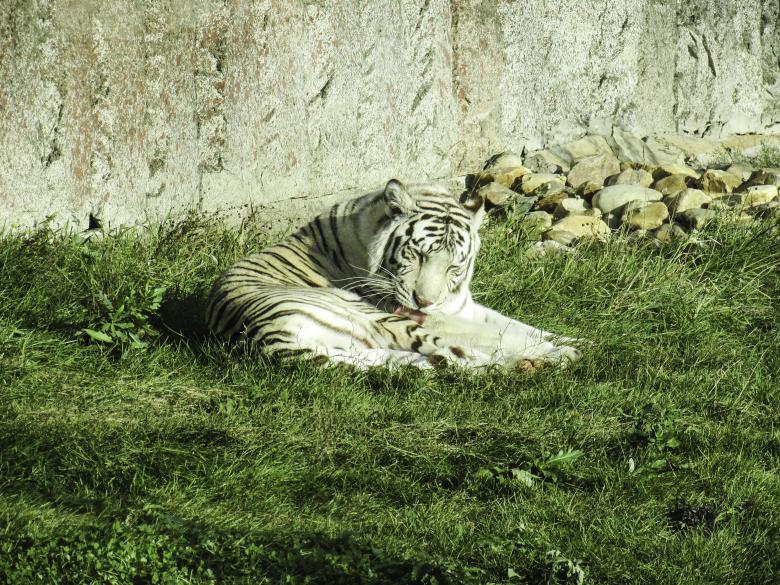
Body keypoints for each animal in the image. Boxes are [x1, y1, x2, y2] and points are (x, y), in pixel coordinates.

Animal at [205, 179, 583, 370]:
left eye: (454, 266)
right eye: (417, 254)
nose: (425, 302)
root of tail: (260, 337)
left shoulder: (458, 306)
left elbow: (515, 325)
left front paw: (574, 340)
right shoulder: (431, 316)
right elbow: (496, 334)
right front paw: (564, 349)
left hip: (369, 349)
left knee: (432, 359)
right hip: (376, 318)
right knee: (464, 354)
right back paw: (536, 363)